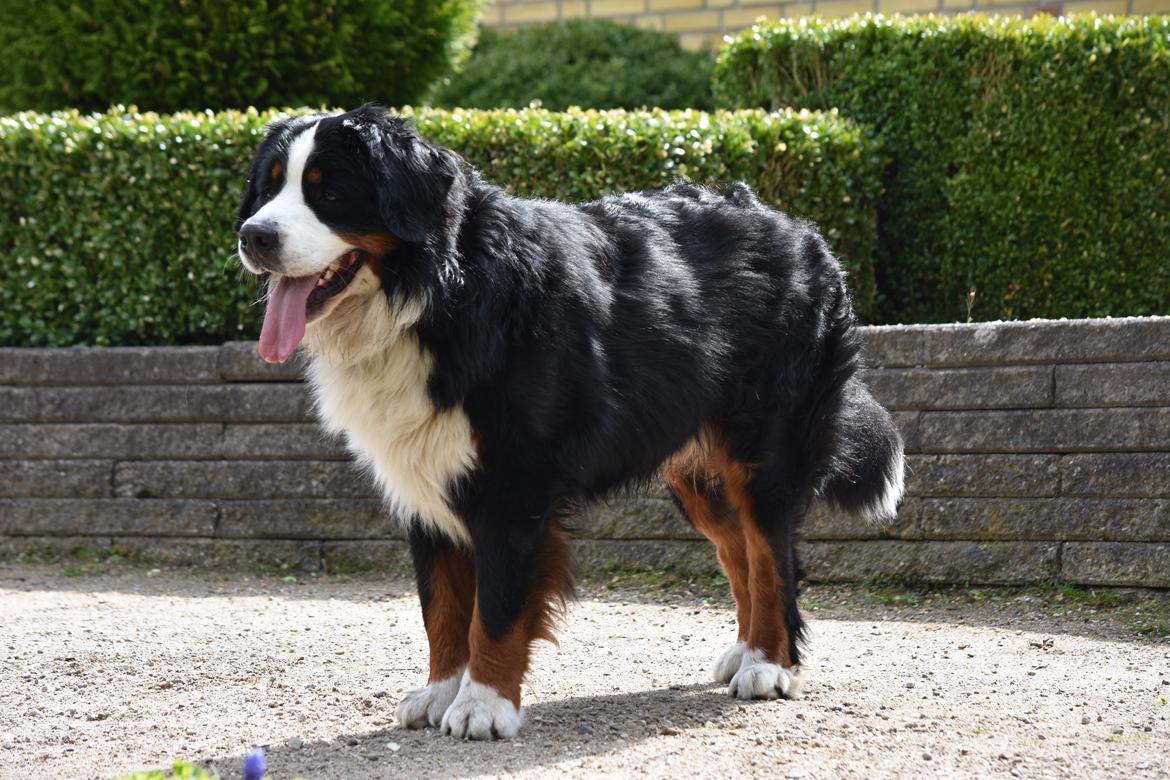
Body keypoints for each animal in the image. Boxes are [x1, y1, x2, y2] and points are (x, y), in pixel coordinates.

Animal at [230, 107, 903, 743]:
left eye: (329, 190)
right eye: (269, 186)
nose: (253, 235)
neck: (440, 295)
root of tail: (799, 228)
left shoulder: (514, 485)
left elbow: (496, 610)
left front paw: (483, 705)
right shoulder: (424, 477)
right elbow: (442, 607)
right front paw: (442, 690)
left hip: (762, 451)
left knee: (772, 556)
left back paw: (769, 664)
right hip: (697, 472)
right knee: (740, 550)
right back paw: (745, 652)